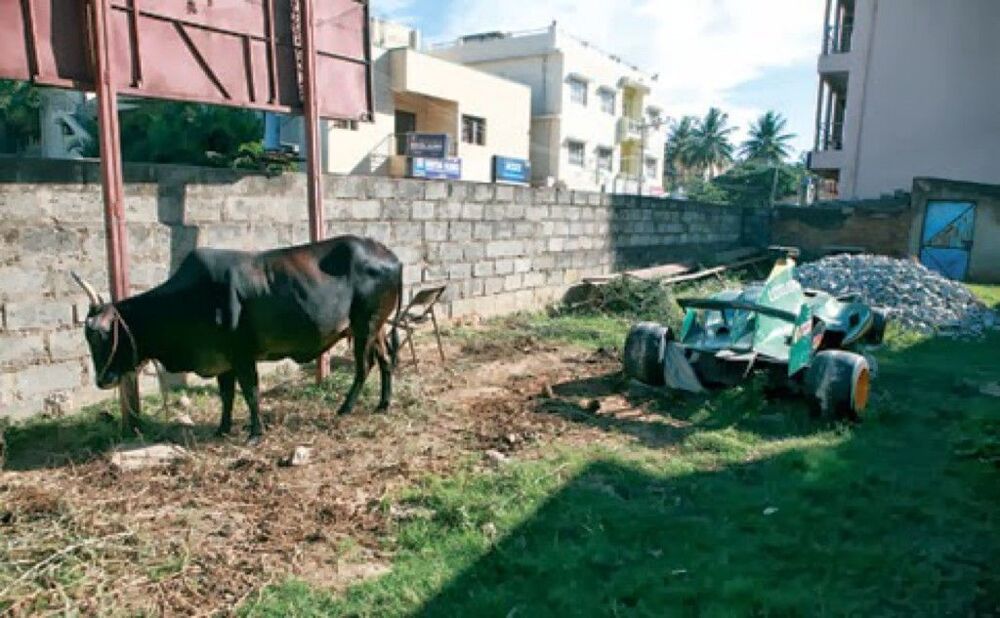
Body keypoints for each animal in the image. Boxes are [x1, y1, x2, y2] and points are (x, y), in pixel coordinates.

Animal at [70, 233, 402, 436]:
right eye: (88, 337)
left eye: (104, 334)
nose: (103, 380)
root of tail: (389, 255)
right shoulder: (222, 361)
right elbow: (227, 396)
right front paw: (223, 428)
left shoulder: (243, 356)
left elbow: (250, 392)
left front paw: (256, 432)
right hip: (377, 328)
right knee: (386, 359)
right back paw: (383, 404)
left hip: (365, 326)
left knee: (364, 366)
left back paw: (345, 408)